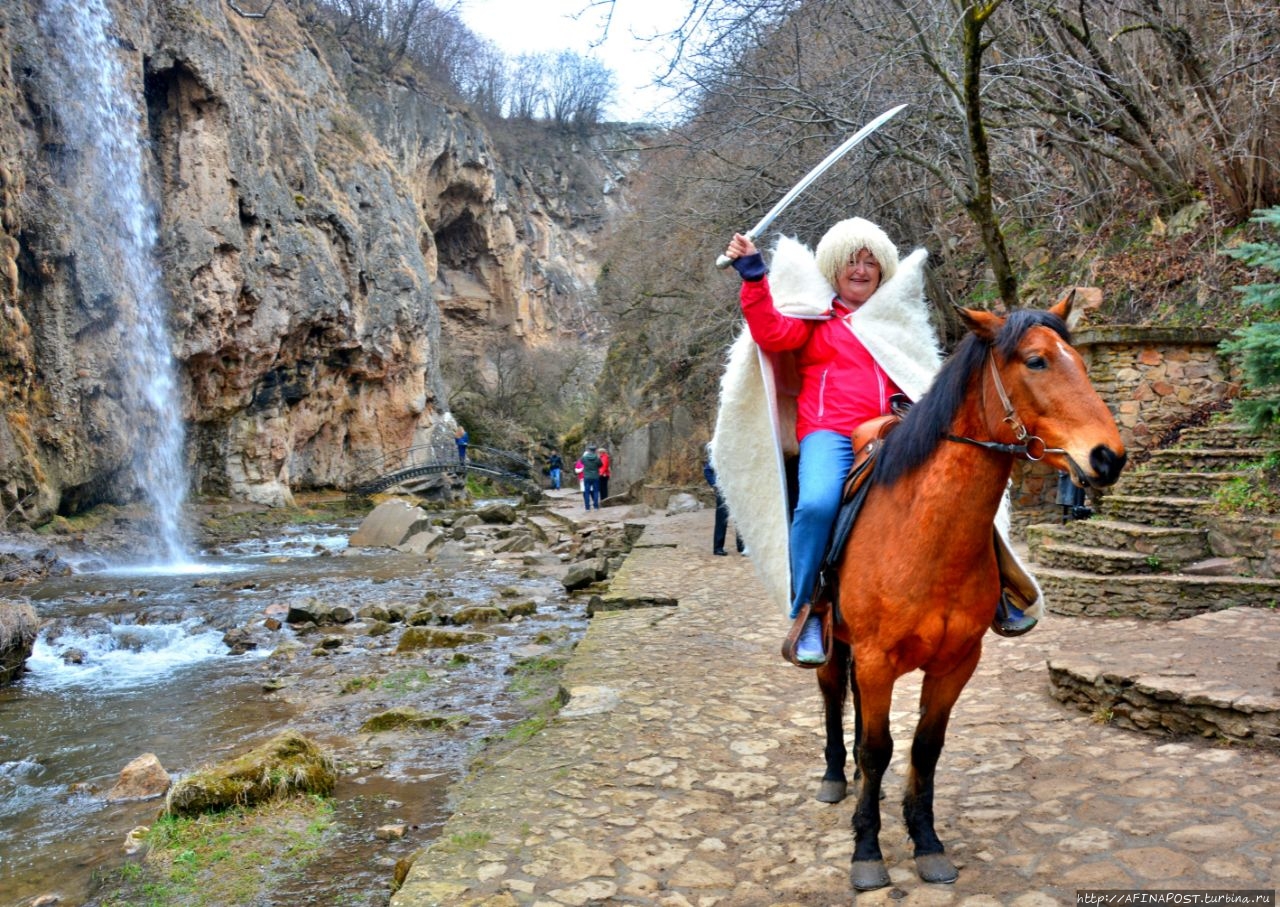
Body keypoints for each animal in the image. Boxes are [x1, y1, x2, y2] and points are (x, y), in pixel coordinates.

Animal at [814, 294, 1126, 890]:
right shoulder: (874, 657)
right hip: (831, 644)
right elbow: (877, 749)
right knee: (833, 697)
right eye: (1036, 361)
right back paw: (834, 776)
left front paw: (926, 841)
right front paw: (867, 851)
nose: (1108, 457)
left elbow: (924, 748)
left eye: (1080, 360)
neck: (926, 537)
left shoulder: (957, 661)